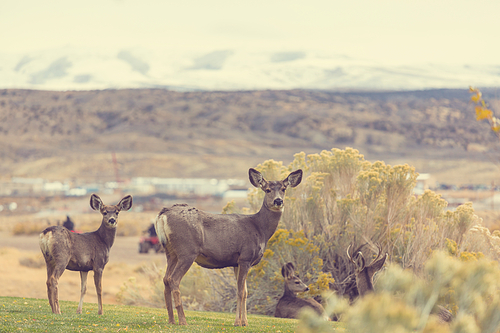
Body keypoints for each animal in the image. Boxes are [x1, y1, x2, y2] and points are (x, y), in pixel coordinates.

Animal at [154, 167, 302, 326]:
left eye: (284, 189)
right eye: (267, 189)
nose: (278, 201)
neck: (260, 229)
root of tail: (162, 215)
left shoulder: (237, 263)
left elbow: (245, 292)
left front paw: (245, 322)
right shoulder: (245, 256)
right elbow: (240, 291)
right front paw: (238, 322)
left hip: (170, 252)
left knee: (166, 279)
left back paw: (171, 320)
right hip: (187, 251)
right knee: (174, 279)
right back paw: (183, 321)